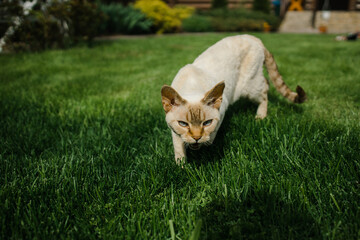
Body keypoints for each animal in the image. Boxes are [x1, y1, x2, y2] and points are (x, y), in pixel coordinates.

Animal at [162, 34, 306, 165]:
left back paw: (260, 117)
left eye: (207, 123)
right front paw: (181, 166)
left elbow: (211, 136)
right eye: (183, 124)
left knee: (265, 88)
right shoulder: (173, 129)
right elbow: (178, 146)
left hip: (250, 86)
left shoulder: (222, 110)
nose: (196, 137)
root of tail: (253, 37)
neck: (192, 87)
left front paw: (205, 145)